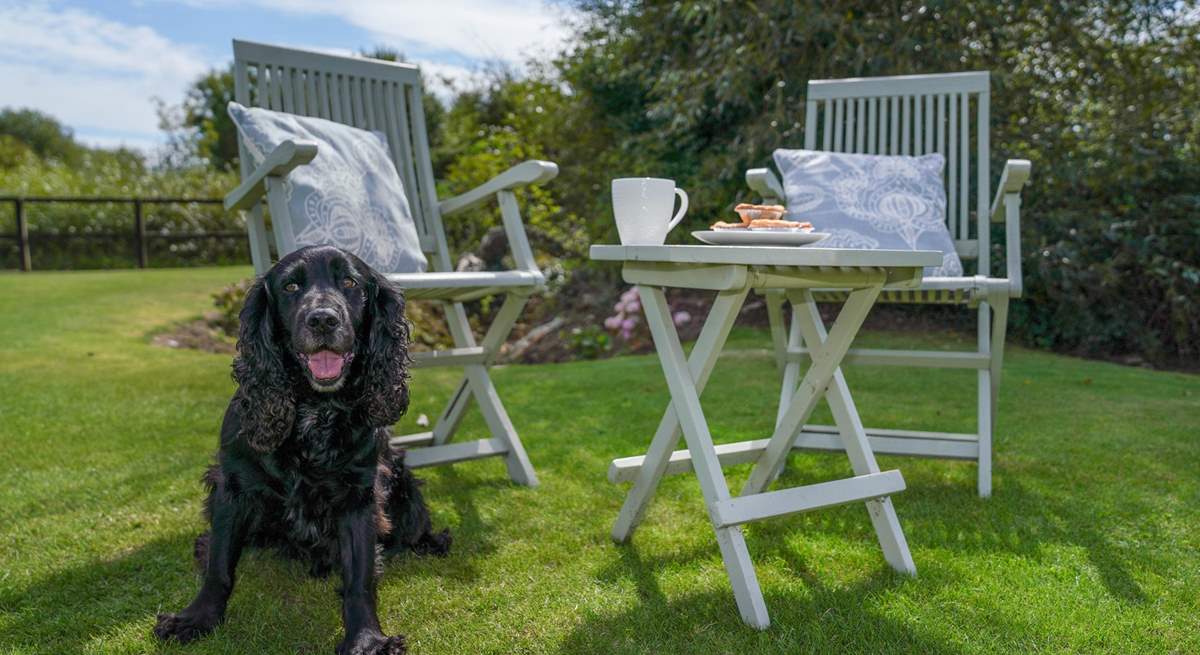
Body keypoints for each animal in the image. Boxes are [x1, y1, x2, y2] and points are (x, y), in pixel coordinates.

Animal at [152, 245, 448, 652]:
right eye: (291, 286)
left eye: (350, 282)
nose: (322, 320)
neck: (315, 410)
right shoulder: (233, 487)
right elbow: (220, 566)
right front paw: (197, 618)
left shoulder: (359, 495)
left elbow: (360, 580)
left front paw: (367, 639)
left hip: (403, 484)